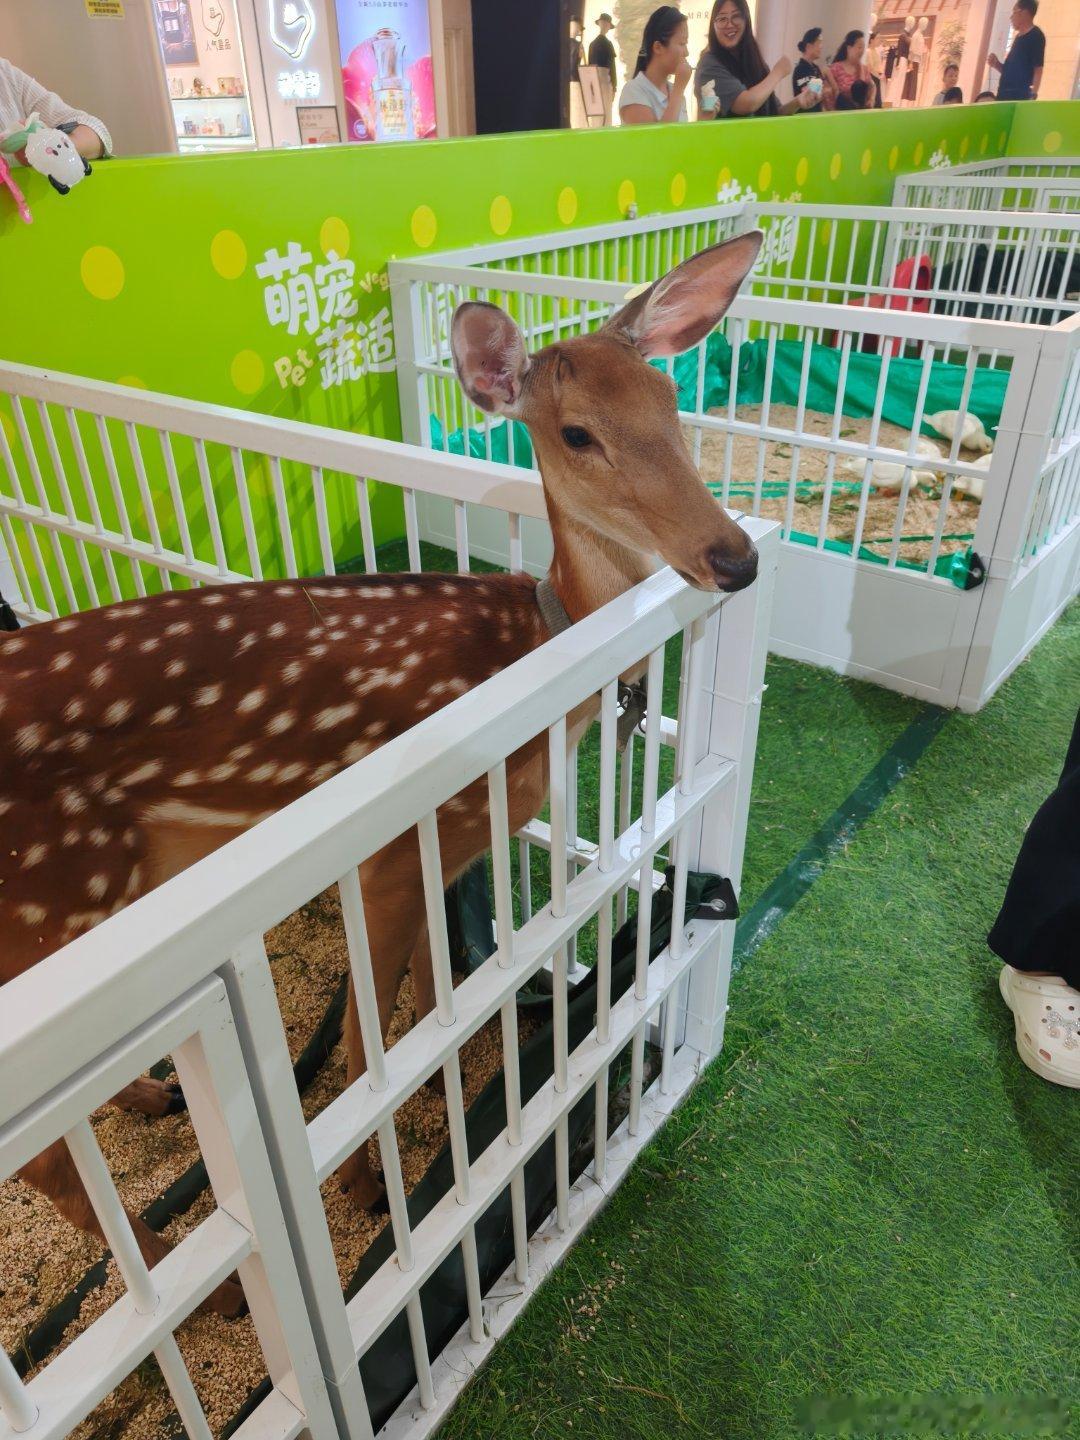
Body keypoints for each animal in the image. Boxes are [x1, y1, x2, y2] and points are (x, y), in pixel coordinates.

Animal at [0, 231, 762, 1317]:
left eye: (671, 400)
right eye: (577, 433)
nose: (734, 557)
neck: (530, 638)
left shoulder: (445, 847)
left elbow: (421, 995)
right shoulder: (400, 845)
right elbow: (370, 1040)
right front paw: (365, 1186)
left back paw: (151, 1093)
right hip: (49, 891)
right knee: (37, 1154)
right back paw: (216, 1293)